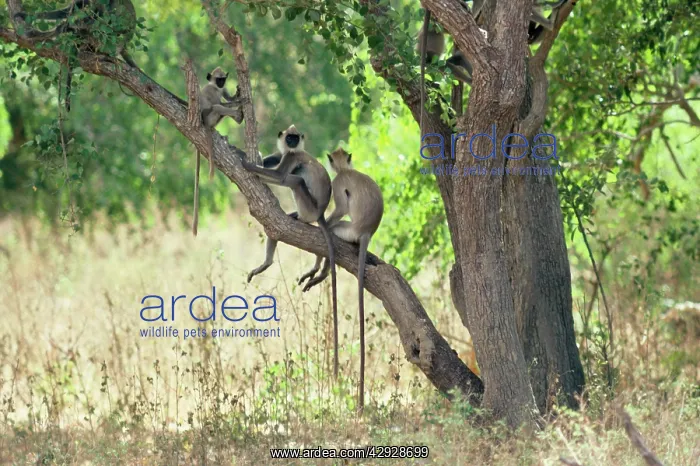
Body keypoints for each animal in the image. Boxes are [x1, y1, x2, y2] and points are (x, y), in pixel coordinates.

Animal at [192, 67, 243, 237]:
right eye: (218, 79)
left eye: (223, 79)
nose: (221, 83)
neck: (215, 86)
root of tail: (205, 122)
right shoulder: (212, 91)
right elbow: (221, 102)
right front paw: (240, 101)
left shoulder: (222, 90)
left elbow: (227, 97)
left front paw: (238, 93)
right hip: (210, 116)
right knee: (217, 107)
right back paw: (238, 115)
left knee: (221, 109)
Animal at [239, 125, 340, 379]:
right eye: (289, 137)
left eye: (295, 138)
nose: (292, 142)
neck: (294, 150)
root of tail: (320, 213)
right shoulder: (285, 153)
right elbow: (268, 162)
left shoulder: (293, 157)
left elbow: (278, 175)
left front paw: (244, 162)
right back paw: (267, 262)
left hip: (308, 204)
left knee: (294, 180)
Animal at [299, 148, 384, 413]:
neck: (347, 170)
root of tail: (365, 232)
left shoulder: (338, 184)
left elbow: (341, 205)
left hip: (347, 230)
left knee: (332, 233)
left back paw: (321, 270)